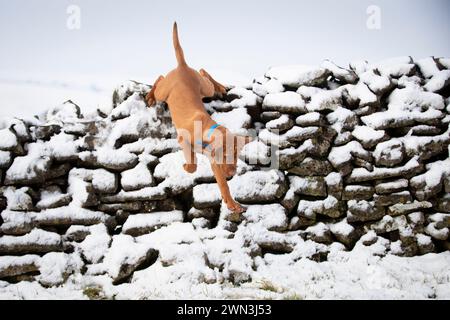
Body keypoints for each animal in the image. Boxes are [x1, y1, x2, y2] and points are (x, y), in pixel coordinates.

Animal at [146, 22, 251, 216]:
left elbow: (222, 185)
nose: (232, 174)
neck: (208, 129)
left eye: (237, 156)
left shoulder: (214, 162)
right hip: (164, 91)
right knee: (160, 79)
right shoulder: (186, 142)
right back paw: (149, 96)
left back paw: (220, 86)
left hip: (204, 88)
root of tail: (182, 66)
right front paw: (186, 167)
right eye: (226, 155)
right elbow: (193, 164)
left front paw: (232, 204)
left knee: (203, 72)